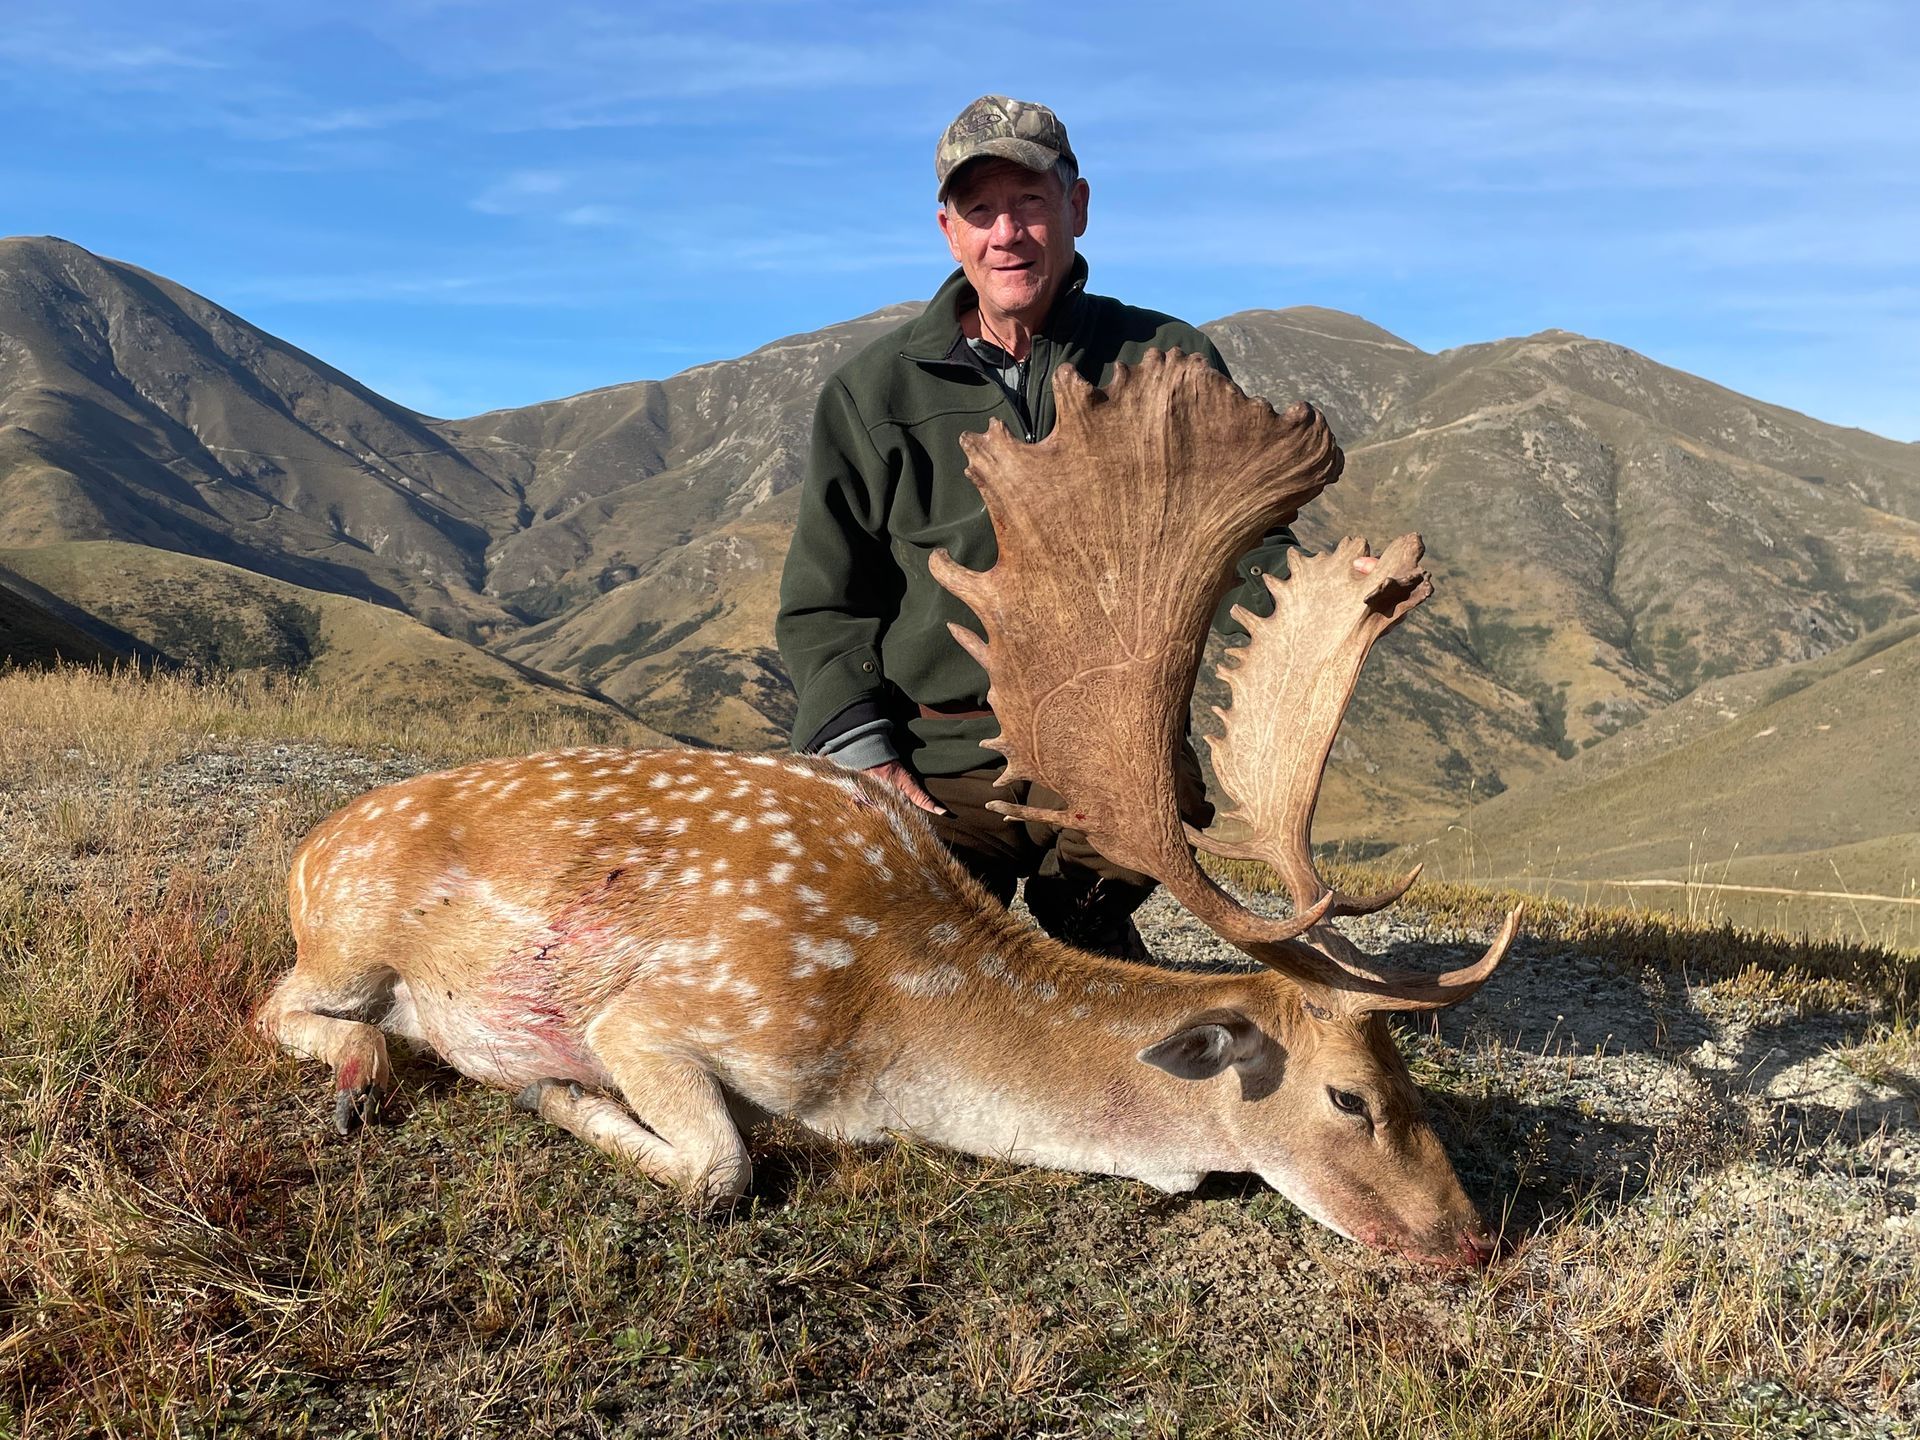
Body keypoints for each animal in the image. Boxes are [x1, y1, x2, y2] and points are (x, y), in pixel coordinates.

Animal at [258, 350, 1521, 1269]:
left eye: (1414, 1084)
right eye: (1350, 1098)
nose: (1471, 1241)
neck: (896, 1040)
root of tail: (308, 852)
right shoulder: (663, 1013)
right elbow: (722, 1171)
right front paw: (556, 1093)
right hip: (348, 941)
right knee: (287, 1008)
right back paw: (361, 1075)